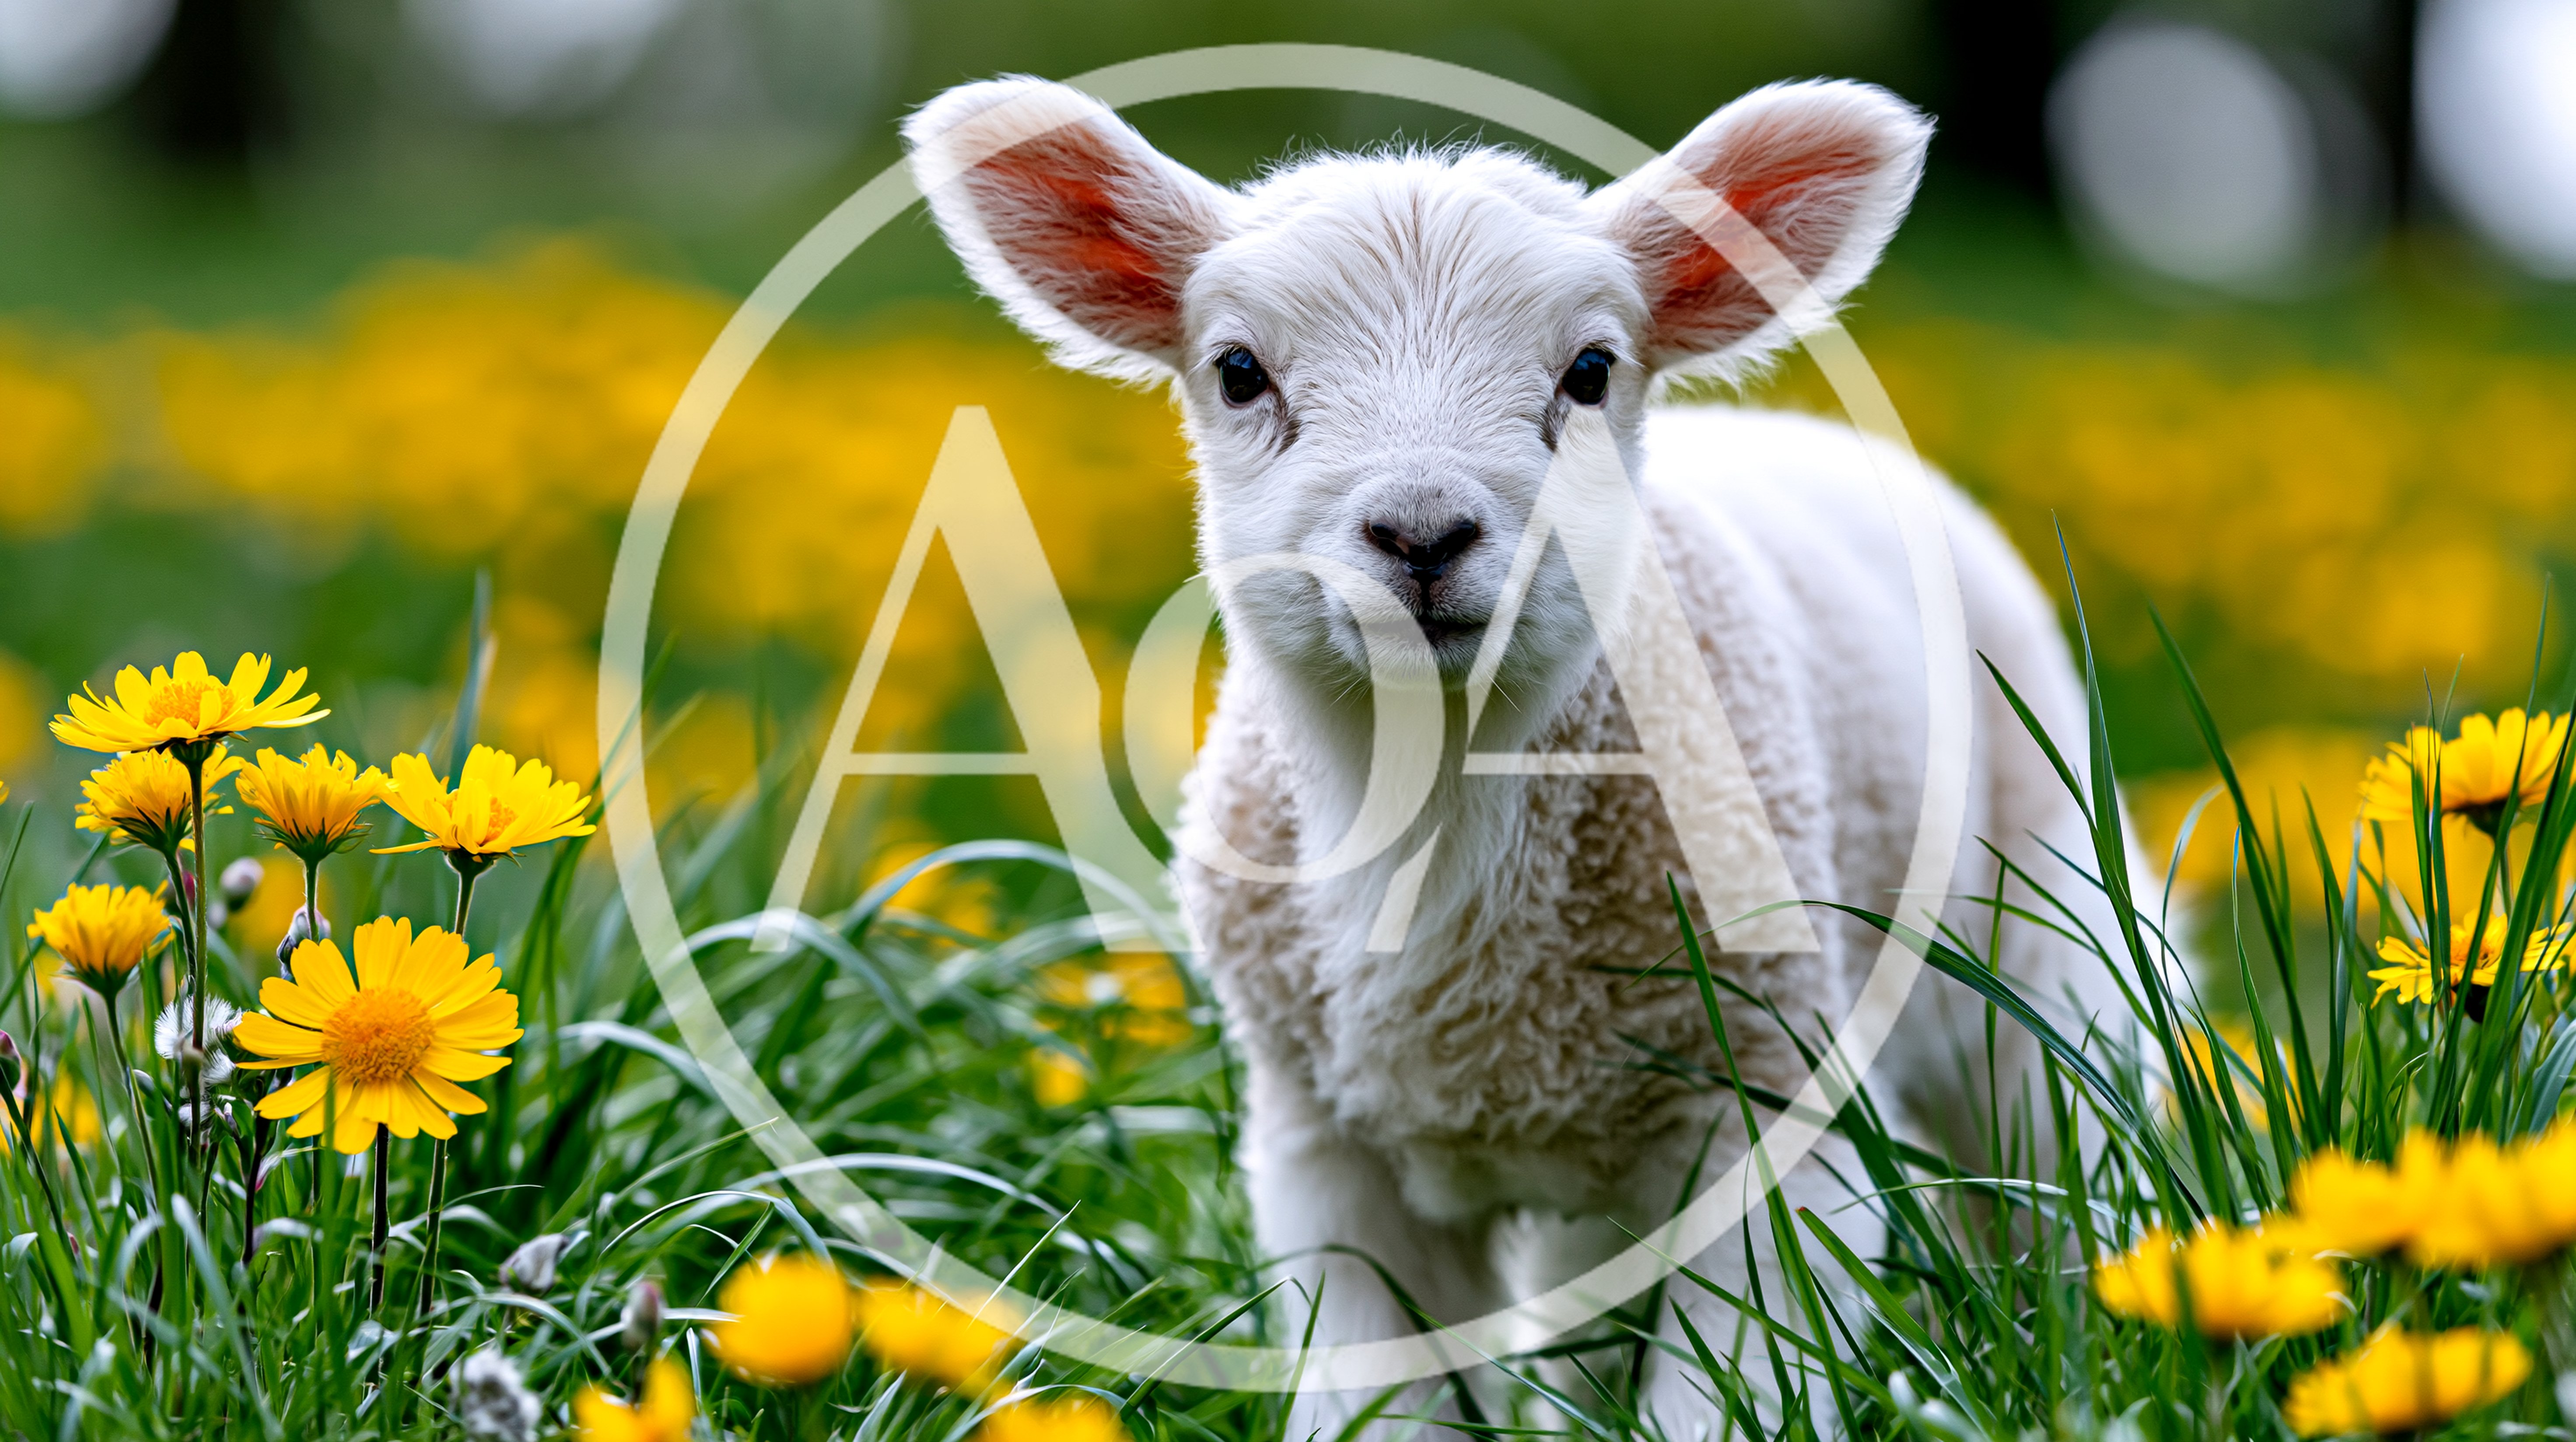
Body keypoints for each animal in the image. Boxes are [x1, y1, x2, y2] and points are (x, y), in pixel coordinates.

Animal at [905, 75, 2129, 1435]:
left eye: (1591, 370)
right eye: (1237, 372)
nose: (1421, 532)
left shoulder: (1767, 1107)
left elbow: (1726, 1389)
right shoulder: (1328, 1155)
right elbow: (1384, 1394)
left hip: (2037, 945)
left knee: (2058, 1147)